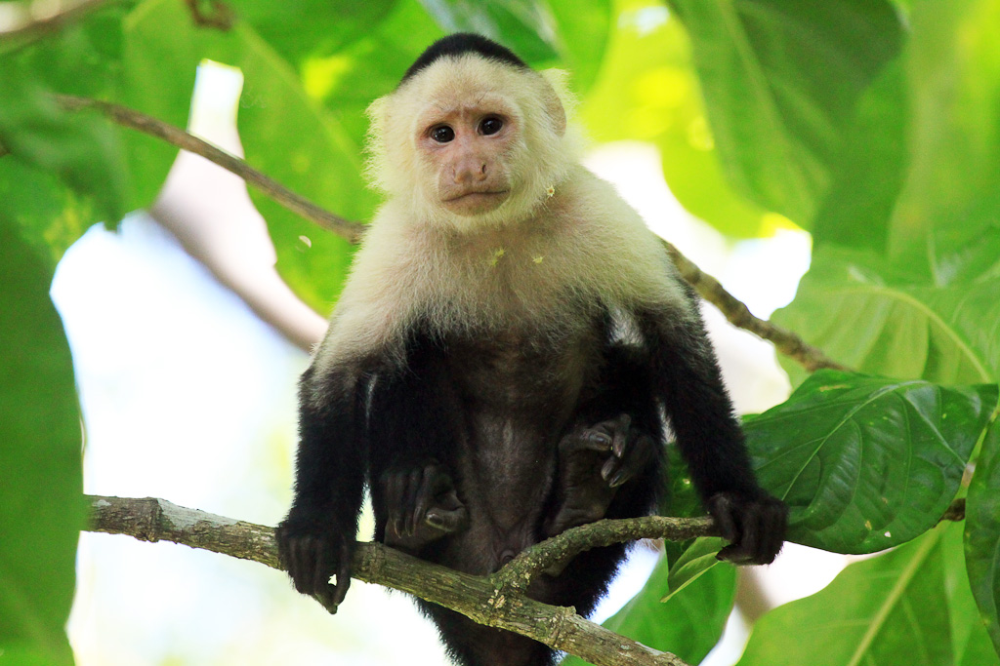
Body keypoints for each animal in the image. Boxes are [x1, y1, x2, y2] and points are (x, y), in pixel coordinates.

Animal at [276, 33, 788, 664]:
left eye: (489, 125)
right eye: (442, 134)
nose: (468, 164)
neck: (494, 231)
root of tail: (497, 597)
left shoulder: (595, 208)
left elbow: (673, 334)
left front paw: (739, 500)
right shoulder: (396, 239)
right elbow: (339, 374)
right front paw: (316, 529)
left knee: (627, 366)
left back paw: (581, 499)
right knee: (411, 355)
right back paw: (413, 516)